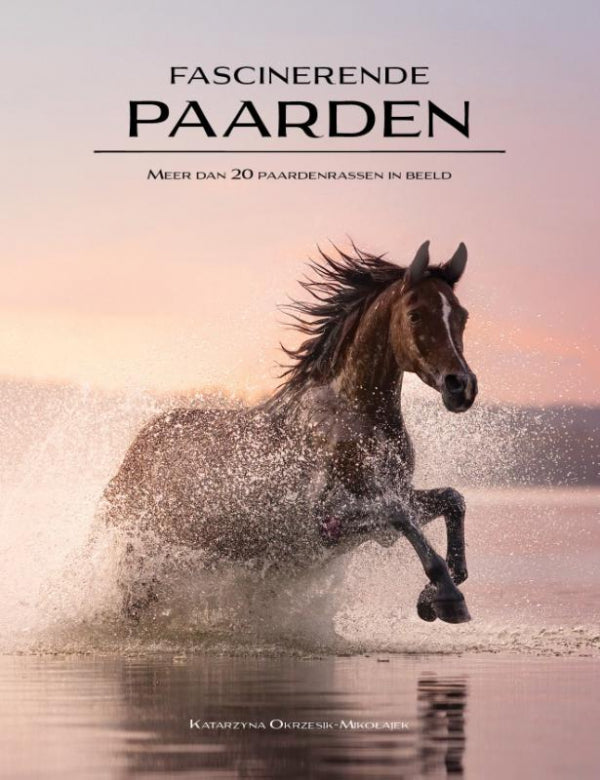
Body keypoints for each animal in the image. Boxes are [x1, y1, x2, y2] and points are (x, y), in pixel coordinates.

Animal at [101, 240, 478, 625]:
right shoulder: (326, 522)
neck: (355, 420)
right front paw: (447, 597)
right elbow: (400, 515)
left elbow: (453, 500)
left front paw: (435, 593)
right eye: (415, 314)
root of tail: (134, 453)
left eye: (462, 316)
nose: (461, 386)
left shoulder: (396, 496)